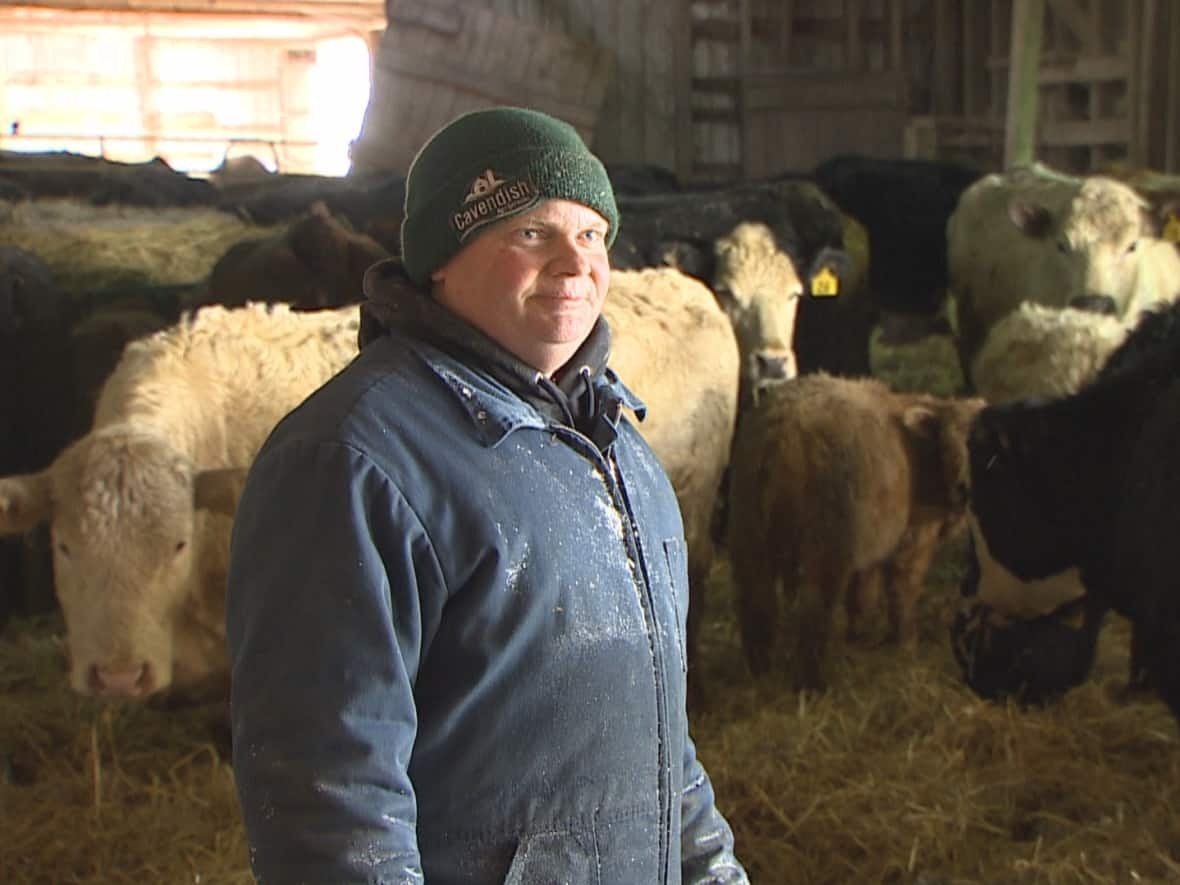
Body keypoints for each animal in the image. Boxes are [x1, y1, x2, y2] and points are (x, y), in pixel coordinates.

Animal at [726, 375, 986, 693]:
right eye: (950, 445)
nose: (965, 488)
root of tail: (782, 433)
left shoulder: (870, 542)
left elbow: (862, 592)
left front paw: (860, 636)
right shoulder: (913, 538)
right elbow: (902, 592)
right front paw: (905, 646)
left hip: (747, 524)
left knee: (756, 600)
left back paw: (759, 675)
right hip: (827, 537)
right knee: (815, 608)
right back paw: (812, 685)